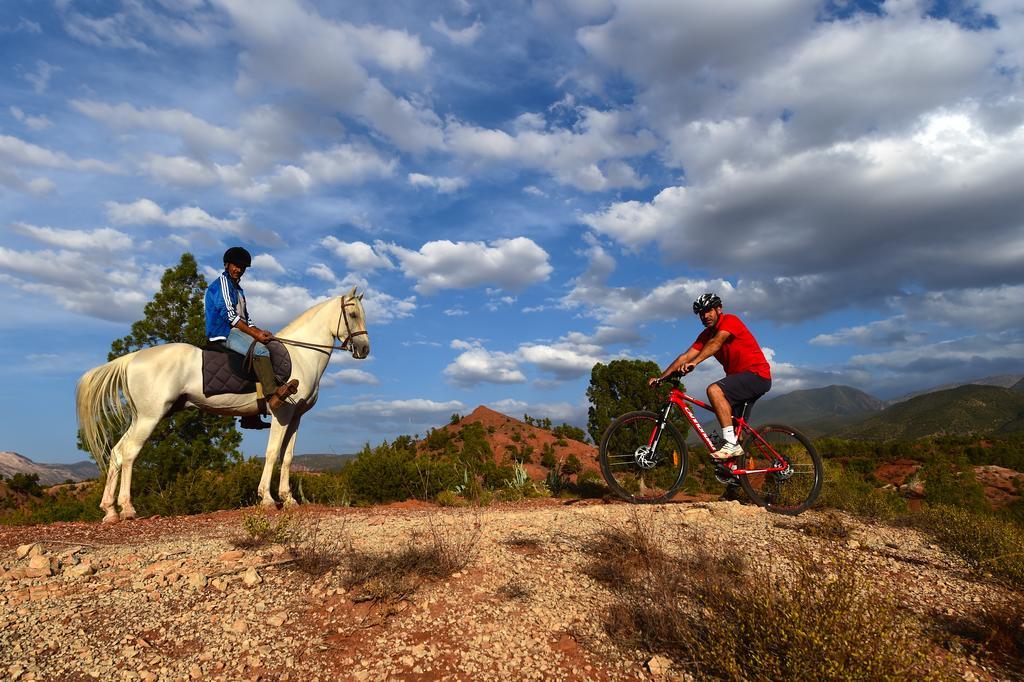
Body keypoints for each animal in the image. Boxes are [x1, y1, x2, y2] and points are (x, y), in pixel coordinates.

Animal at [76, 286, 372, 520]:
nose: (364, 350)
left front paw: (289, 499)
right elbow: (272, 453)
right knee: (130, 453)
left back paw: (110, 510)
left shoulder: (296, 416)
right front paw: (267, 499)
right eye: (353, 315)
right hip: (150, 417)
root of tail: (133, 359)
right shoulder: (282, 413)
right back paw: (127, 508)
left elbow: (287, 457)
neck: (300, 354)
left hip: (142, 417)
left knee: (116, 452)